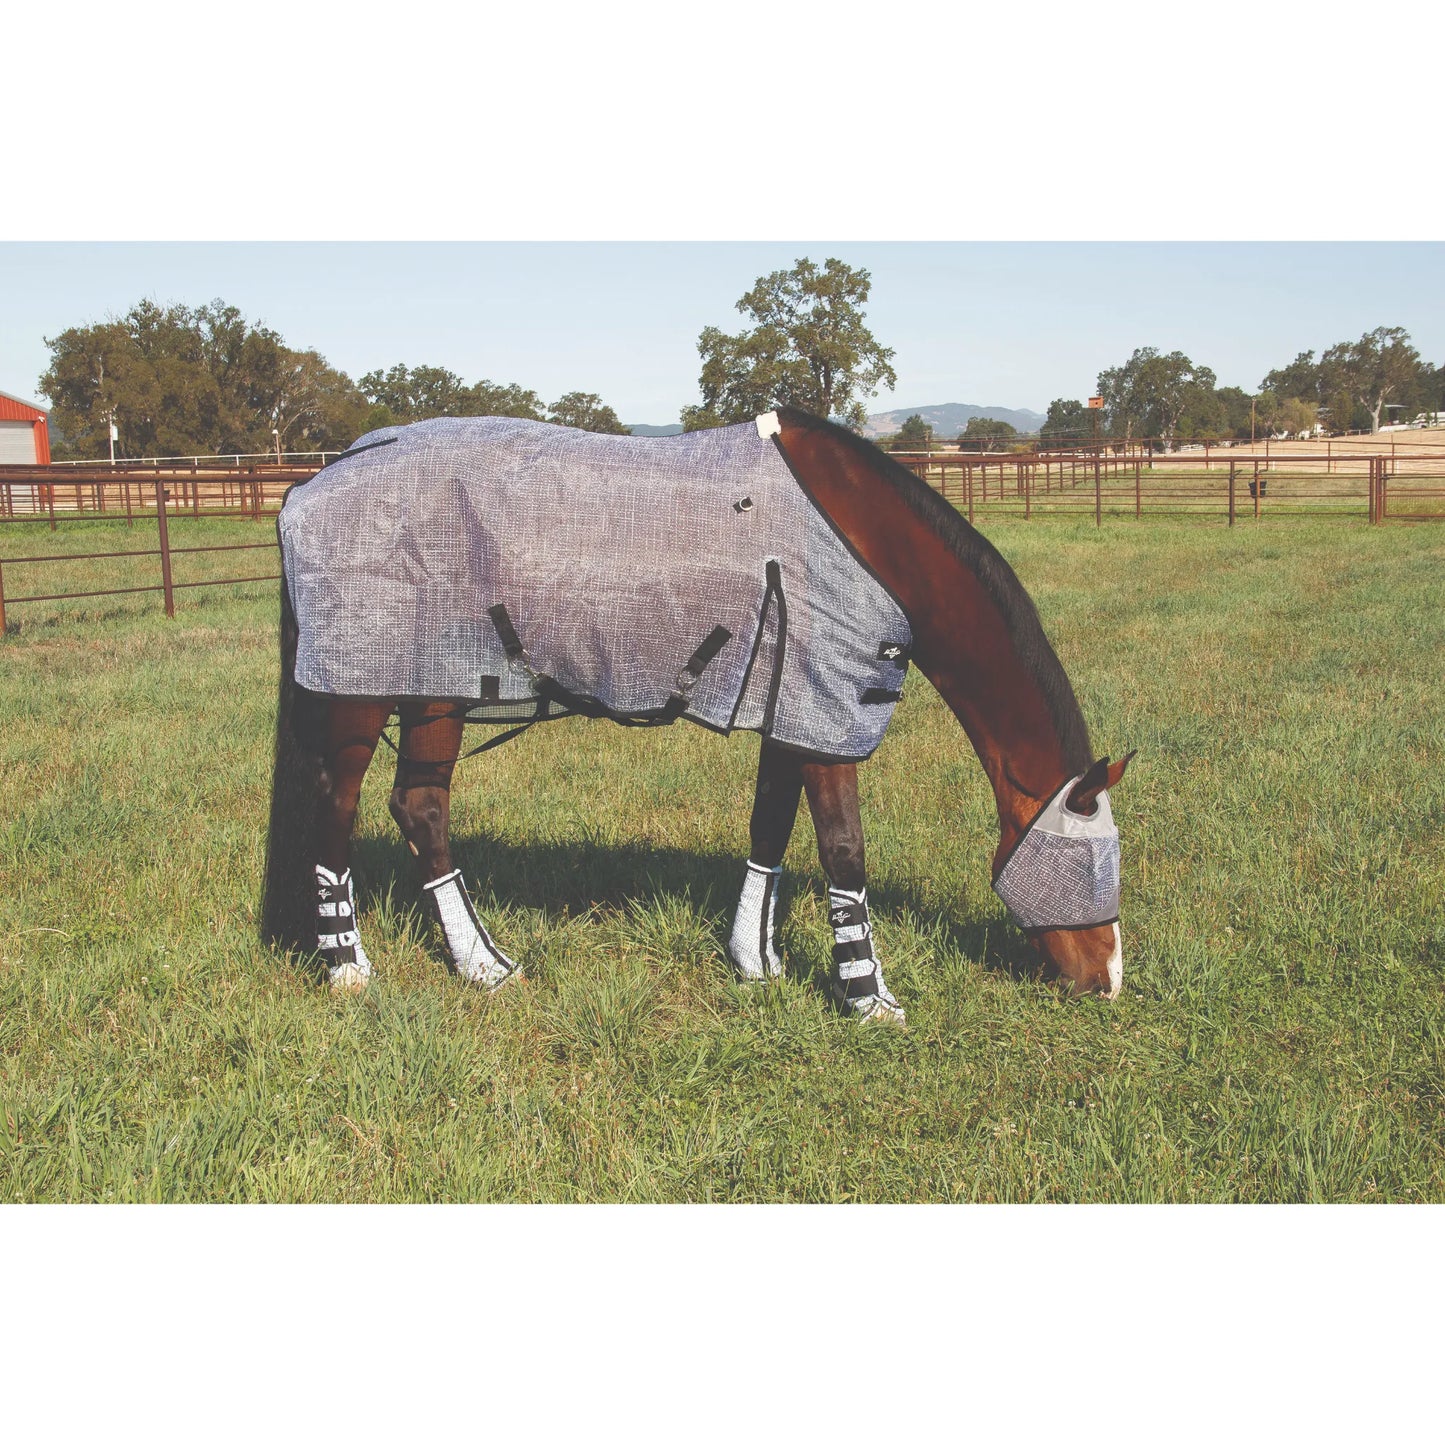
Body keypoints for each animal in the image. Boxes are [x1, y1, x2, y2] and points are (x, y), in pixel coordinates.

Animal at [260, 407, 1132, 1024]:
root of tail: (314, 480)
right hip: (371, 694)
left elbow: (769, 829)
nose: (1108, 981)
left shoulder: (790, 710)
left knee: (416, 807)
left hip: (432, 689)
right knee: (350, 810)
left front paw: (756, 962)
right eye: (1089, 860)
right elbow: (844, 852)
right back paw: (358, 970)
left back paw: (482, 965)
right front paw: (867, 999)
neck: (865, 540)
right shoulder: (825, 714)